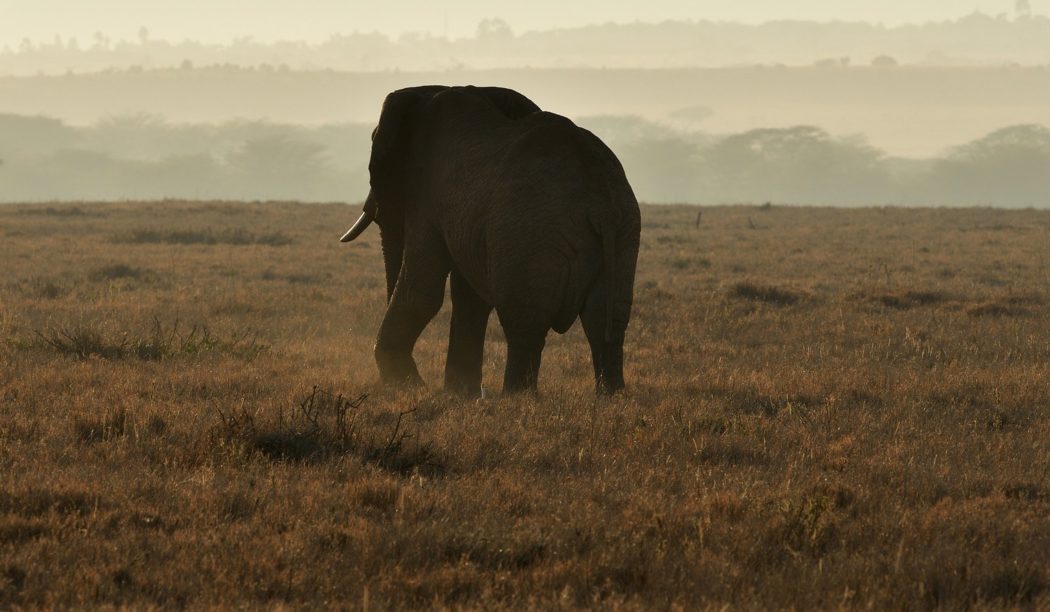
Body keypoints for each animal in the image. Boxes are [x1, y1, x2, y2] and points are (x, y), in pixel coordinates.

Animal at [341, 85, 640, 396]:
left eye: (376, 170)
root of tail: (600, 202)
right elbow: (470, 296)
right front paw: (461, 395)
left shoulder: (427, 197)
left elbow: (424, 288)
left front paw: (407, 384)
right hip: (625, 230)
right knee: (605, 317)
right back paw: (611, 396)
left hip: (530, 234)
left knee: (524, 319)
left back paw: (517, 398)